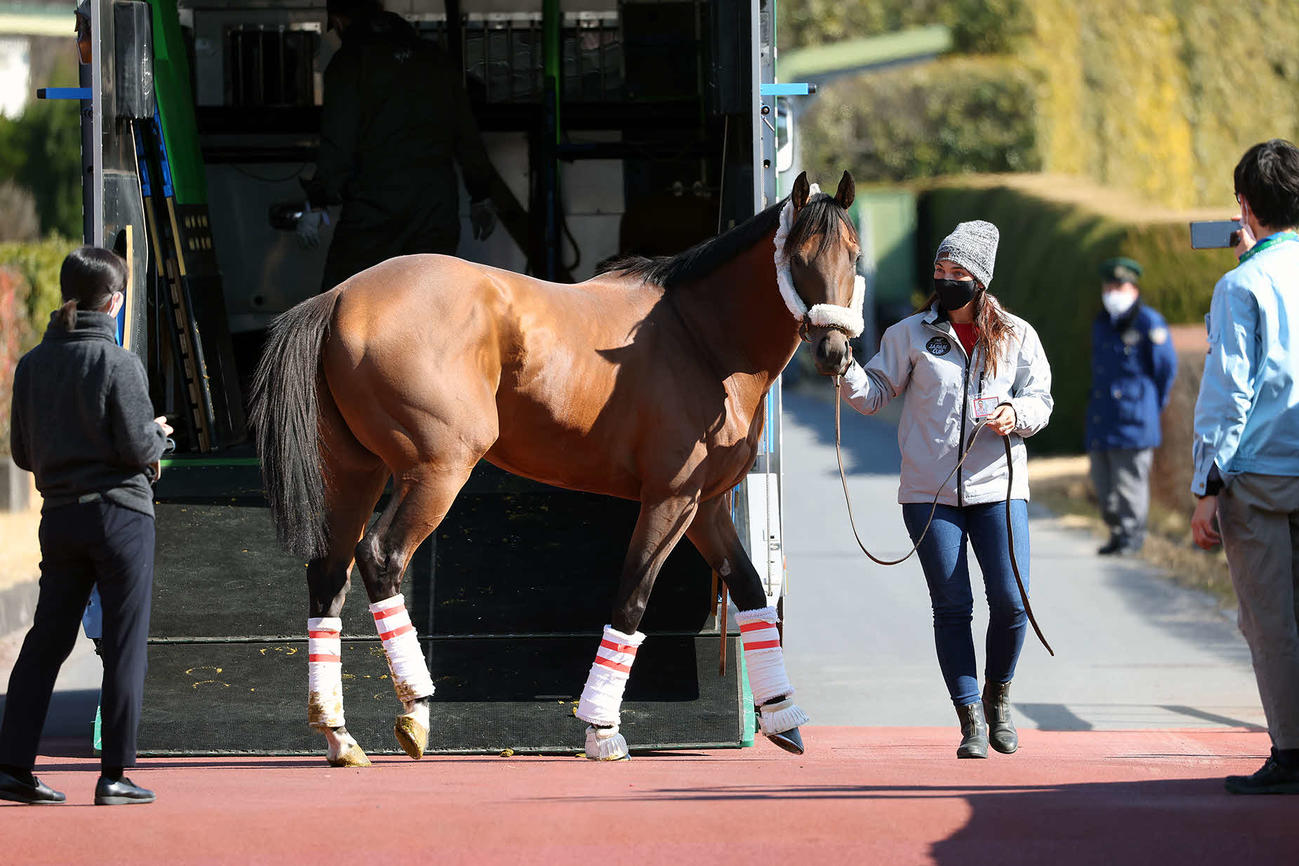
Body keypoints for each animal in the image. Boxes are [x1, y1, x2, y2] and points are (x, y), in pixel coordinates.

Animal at [249, 170, 862, 766]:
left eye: (853, 255)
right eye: (799, 256)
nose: (835, 352)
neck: (699, 339)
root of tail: (339, 296)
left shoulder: (706, 507)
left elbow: (751, 590)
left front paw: (783, 717)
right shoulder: (669, 500)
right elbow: (632, 598)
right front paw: (602, 729)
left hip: (358, 474)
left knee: (328, 577)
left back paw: (339, 736)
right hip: (435, 471)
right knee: (381, 557)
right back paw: (415, 711)